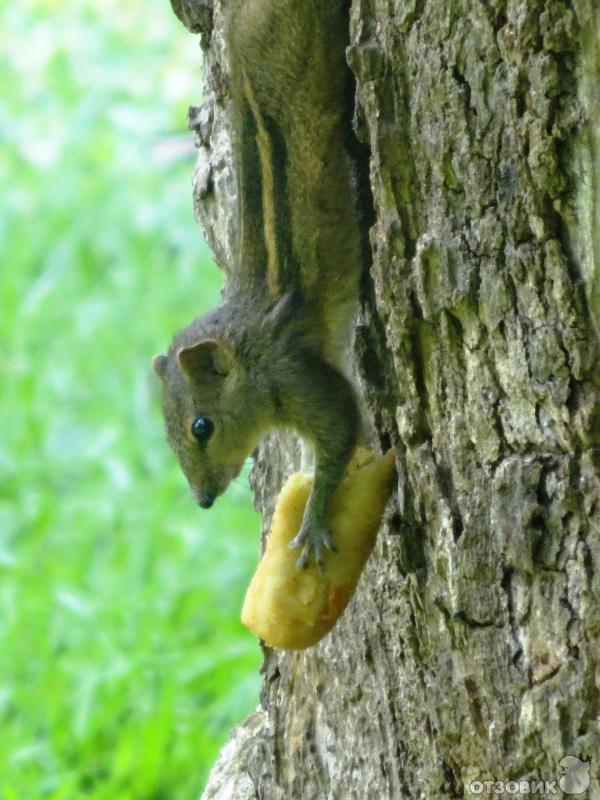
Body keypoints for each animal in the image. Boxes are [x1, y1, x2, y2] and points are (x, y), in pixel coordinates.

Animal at [152, 0, 364, 568]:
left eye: (202, 427)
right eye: (168, 431)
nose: (203, 500)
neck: (246, 343)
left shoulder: (293, 373)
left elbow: (341, 429)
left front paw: (311, 526)